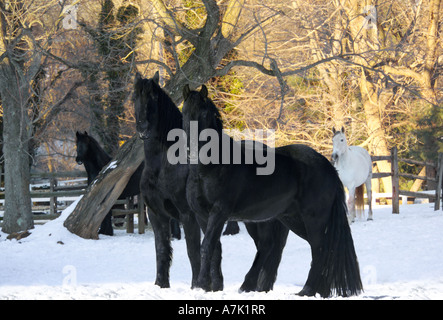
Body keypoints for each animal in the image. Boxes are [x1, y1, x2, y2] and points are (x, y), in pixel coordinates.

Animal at [134, 72, 288, 292]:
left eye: (154, 97)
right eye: (135, 97)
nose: (143, 128)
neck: (163, 165)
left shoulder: (188, 215)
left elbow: (194, 251)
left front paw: (199, 285)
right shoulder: (157, 214)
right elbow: (162, 250)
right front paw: (161, 285)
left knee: (268, 248)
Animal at [182, 85, 362, 298]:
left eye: (203, 113)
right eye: (184, 112)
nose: (191, 149)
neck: (211, 167)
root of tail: (328, 166)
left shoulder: (219, 213)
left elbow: (206, 246)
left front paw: (201, 285)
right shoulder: (203, 215)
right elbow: (215, 248)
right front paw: (214, 286)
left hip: (313, 219)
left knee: (319, 249)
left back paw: (307, 290)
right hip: (289, 218)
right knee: (289, 248)